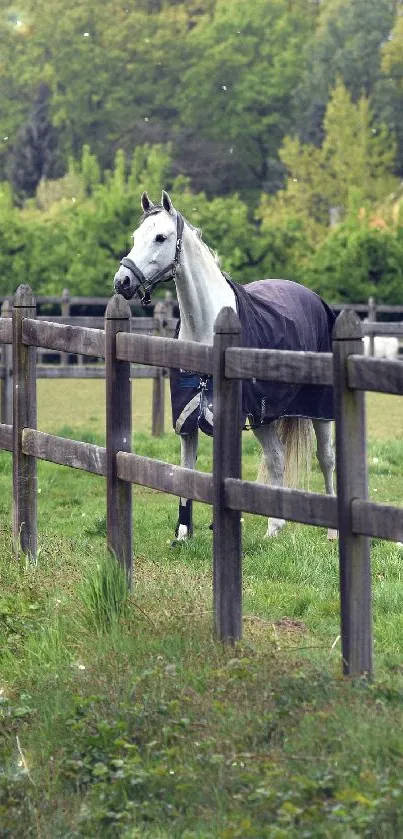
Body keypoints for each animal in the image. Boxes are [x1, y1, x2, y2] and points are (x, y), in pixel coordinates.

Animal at [113, 190, 338, 540]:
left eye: (161, 237)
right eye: (136, 237)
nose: (122, 282)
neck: (207, 328)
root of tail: (313, 298)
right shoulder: (186, 420)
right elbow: (185, 472)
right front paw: (183, 533)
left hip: (319, 409)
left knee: (325, 458)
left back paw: (332, 533)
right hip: (264, 416)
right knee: (276, 459)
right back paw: (274, 529)